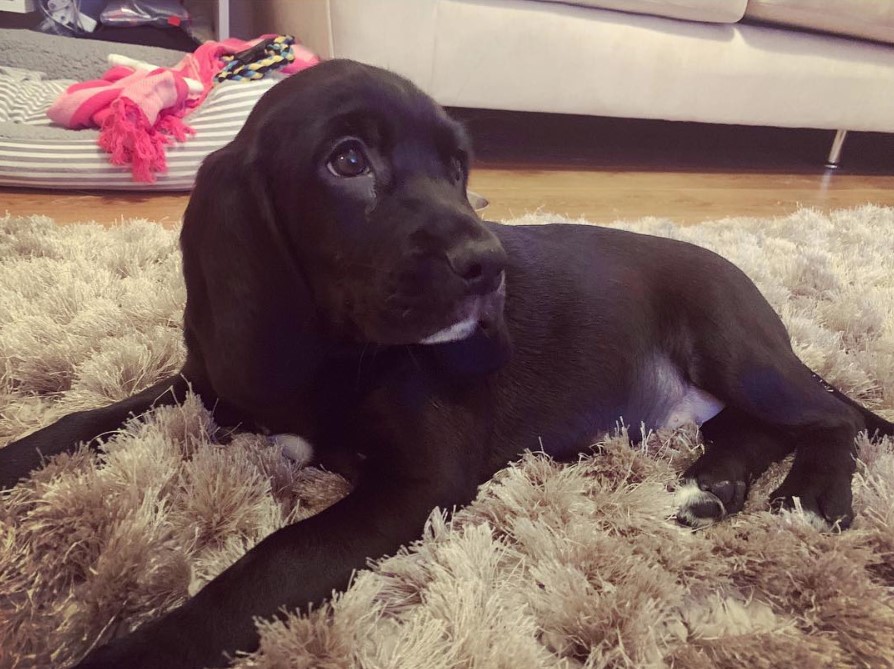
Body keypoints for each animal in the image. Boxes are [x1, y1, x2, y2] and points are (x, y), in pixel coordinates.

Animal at [0, 60, 892, 664]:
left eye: (460, 170)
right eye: (347, 160)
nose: (488, 265)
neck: (335, 350)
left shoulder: (419, 481)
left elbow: (273, 560)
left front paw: (147, 649)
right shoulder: (211, 385)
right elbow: (90, 412)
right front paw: (18, 451)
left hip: (731, 345)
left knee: (830, 412)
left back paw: (813, 495)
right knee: (758, 424)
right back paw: (712, 485)